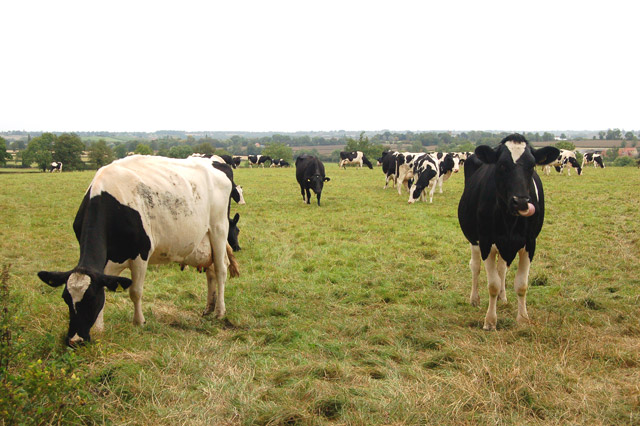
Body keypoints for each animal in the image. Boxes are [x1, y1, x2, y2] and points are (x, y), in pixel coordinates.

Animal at [38, 156, 242, 346]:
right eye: (66, 299)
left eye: (91, 300)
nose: (75, 340)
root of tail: (216, 162)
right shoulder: (106, 264)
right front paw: (98, 329)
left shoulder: (141, 254)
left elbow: (135, 291)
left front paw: (139, 322)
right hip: (204, 242)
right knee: (210, 272)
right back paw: (209, 307)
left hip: (218, 229)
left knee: (220, 270)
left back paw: (219, 311)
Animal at [458, 133, 556, 330]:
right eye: (502, 165)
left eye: (532, 166)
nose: (521, 202)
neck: (510, 220)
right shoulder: (486, 242)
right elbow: (493, 284)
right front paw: (490, 321)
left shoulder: (530, 243)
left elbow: (521, 284)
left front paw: (523, 319)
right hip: (474, 240)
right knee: (475, 266)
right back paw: (474, 299)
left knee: (502, 268)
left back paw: (503, 298)